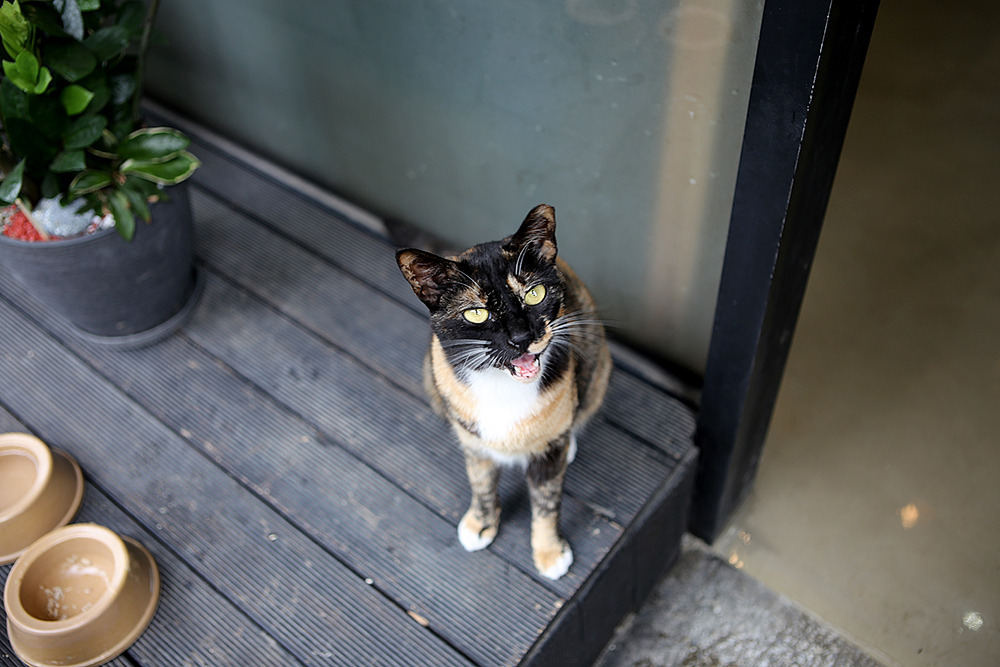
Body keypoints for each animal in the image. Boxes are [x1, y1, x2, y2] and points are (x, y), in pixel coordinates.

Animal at [396, 204, 611, 580]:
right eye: (477, 313)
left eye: (534, 294)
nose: (522, 338)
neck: (503, 387)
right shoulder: (473, 441)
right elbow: (480, 483)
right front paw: (481, 524)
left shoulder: (547, 455)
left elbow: (546, 502)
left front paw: (550, 553)